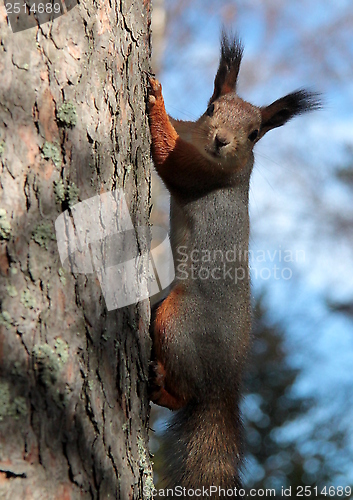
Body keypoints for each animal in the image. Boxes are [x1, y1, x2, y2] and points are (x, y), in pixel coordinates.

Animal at [146, 32, 320, 496]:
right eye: (211, 109)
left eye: (255, 133)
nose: (221, 140)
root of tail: (225, 380)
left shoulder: (203, 172)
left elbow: (169, 158)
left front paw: (155, 99)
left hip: (179, 322)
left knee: (186, 390)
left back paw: (163, 388)